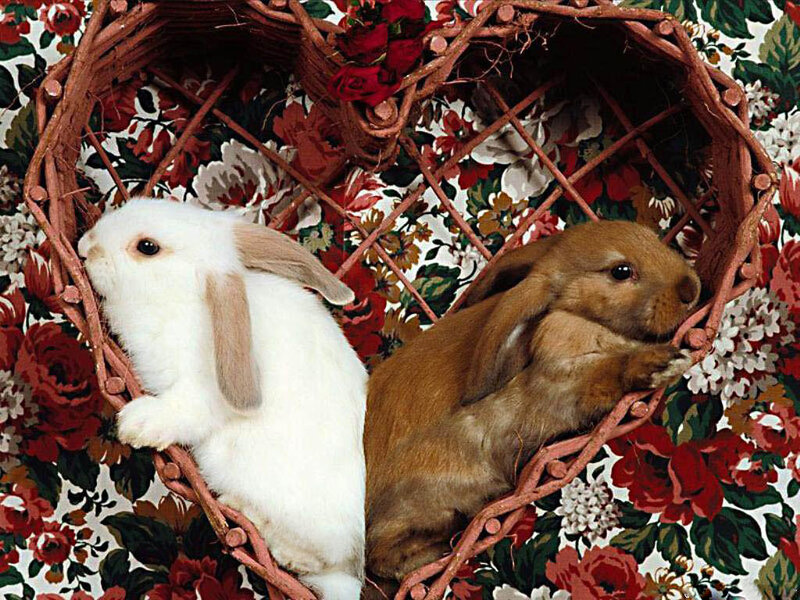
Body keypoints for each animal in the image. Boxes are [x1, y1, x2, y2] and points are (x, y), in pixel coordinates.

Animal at [77, 198, 367, 600]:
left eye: (147, 247)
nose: (85, 246)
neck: (185, 299)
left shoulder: (201, 392)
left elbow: (180, 409)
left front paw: (135, 425)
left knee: (313, 560)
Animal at [364, 220, 701, 581]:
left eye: (652, 237)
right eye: (621, 271)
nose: (691, 289)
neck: (574, 316)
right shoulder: (568, 384)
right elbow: (610, 371)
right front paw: (662, 363)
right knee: (380, 556)